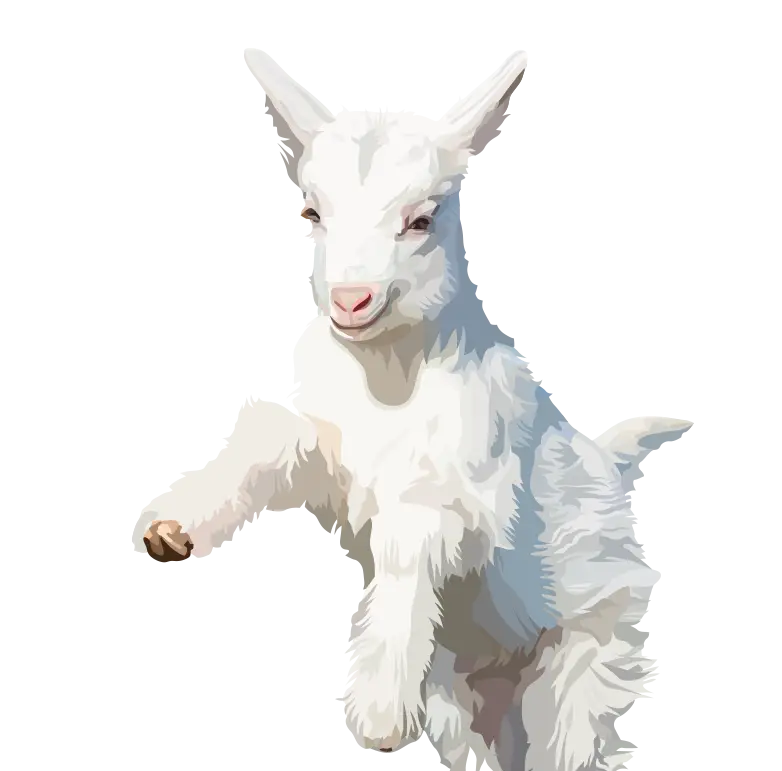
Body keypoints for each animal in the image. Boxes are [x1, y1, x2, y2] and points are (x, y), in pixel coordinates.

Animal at [131, 48, 695, 771]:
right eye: (309, 214)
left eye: (422, 219)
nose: (351, 301)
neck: (386, 371)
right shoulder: (314, 433)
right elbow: (260, 452)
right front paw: (170, 528)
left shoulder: (454, 476)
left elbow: (406, 546)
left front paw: (379, 707)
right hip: (464, 697)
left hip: (595, 637)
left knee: (574, 730)